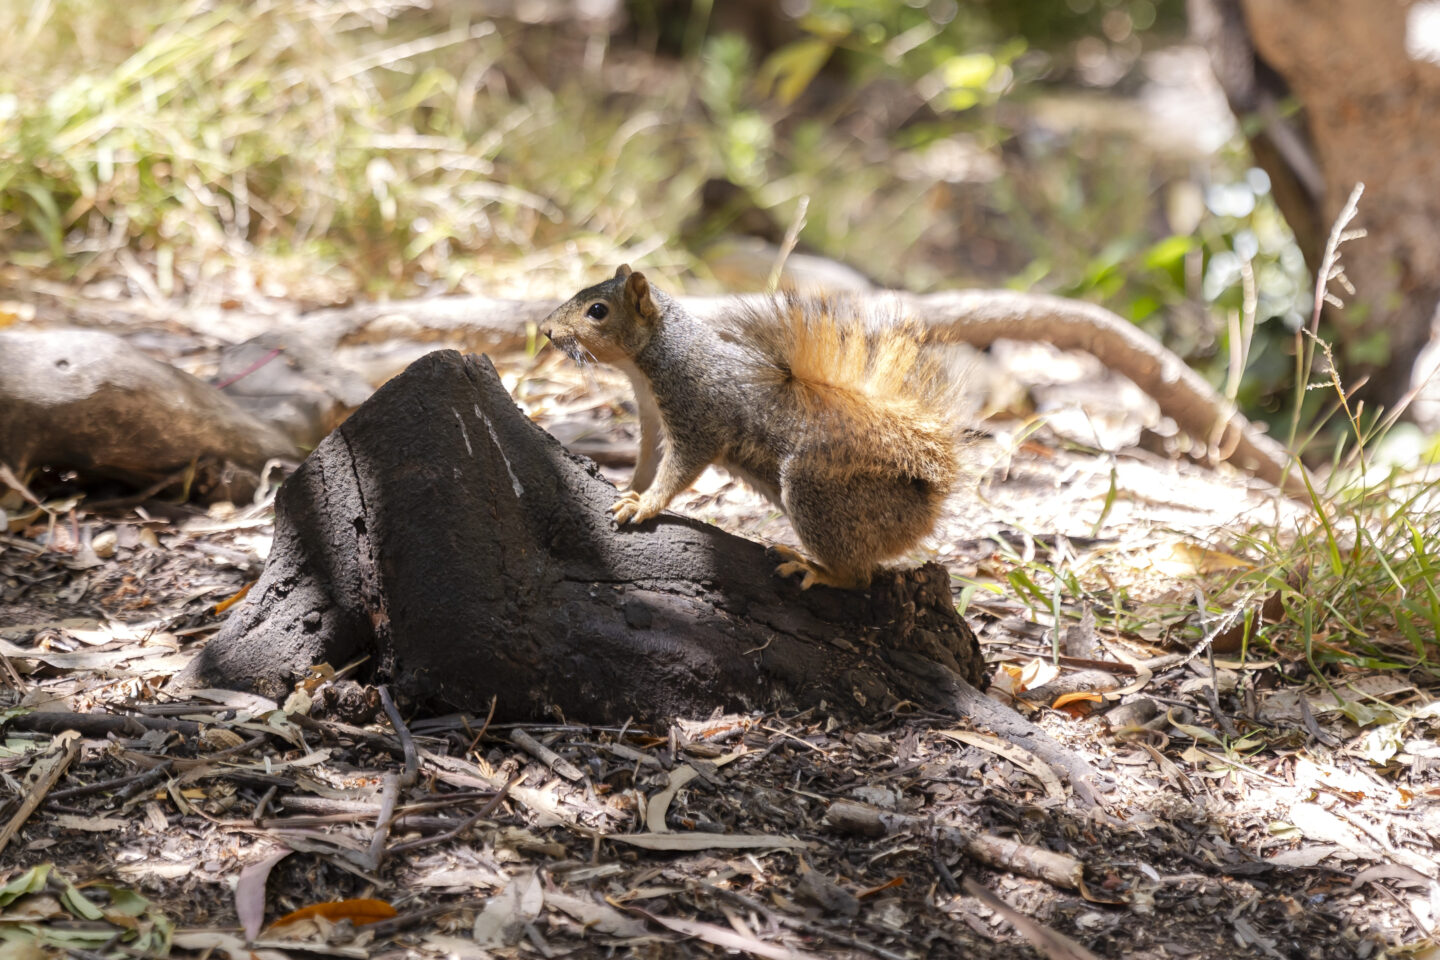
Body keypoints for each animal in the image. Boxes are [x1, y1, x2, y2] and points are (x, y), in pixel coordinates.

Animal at [541, 265, 960, 590]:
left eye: (597, 310)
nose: (545, 330)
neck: (653, 359)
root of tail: (926, 508)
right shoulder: (653, 419)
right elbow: (648, 461)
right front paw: (631, 490)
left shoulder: (696, 417)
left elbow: (679, 469)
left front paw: (646, 504)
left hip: (820, 495)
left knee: (858, 577)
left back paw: (814, 569)